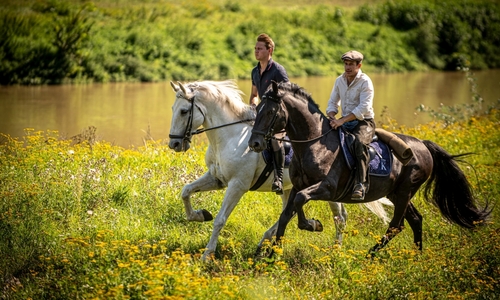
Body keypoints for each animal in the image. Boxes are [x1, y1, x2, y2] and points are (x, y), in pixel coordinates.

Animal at [168, 79, 390, 260]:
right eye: (173, 108)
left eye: (184, 111)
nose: (174, 144)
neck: (228, 136)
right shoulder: (217, 179)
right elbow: (186, 191)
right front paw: (200, 215)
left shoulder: (237, 185)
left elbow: (220, 220)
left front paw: (207, 254)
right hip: (290, 188)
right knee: (290, 212)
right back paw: (266, 242)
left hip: (325, 190)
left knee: (339, 217)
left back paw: (334, 250)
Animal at [248, 80, 490, 253]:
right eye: (257, 109)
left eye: (270, 112)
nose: (255, 143)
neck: (314, 143)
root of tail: (423, 145)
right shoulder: (298, 186)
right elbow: (286, 215)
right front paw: (273, 255)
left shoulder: (326, 188)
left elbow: (299, 203)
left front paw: (313, 225)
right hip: (396, 193)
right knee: (415, 220)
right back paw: (417, 257)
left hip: (405, 191)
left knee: (397, 225)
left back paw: (371, 255)